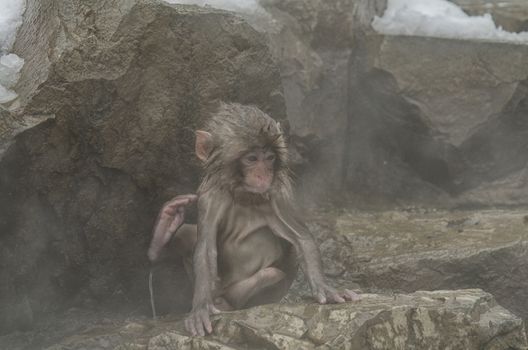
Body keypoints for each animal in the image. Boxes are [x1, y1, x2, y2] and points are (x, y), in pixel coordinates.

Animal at [148, 103, 358, 336]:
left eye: (269, 158)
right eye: (252, 159)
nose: (263, 174)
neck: (243, 193)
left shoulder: (279, 194)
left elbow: (301, 237)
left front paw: (325, 289)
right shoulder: (209, 196)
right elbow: (205, 248)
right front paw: (200, 307)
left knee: (268, 275)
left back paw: (227, 305)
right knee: (187, 234)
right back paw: (161, 235)